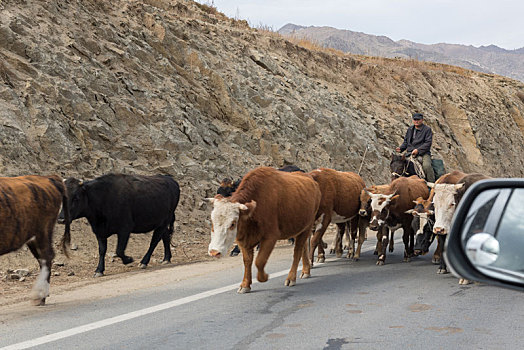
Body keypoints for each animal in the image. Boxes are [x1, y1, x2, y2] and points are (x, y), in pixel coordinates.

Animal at [0, 176, 70, 304]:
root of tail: (47, 178)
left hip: (43, 231)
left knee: (47, 257)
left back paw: (39, 294)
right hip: (33, 237)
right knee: (42, 259)